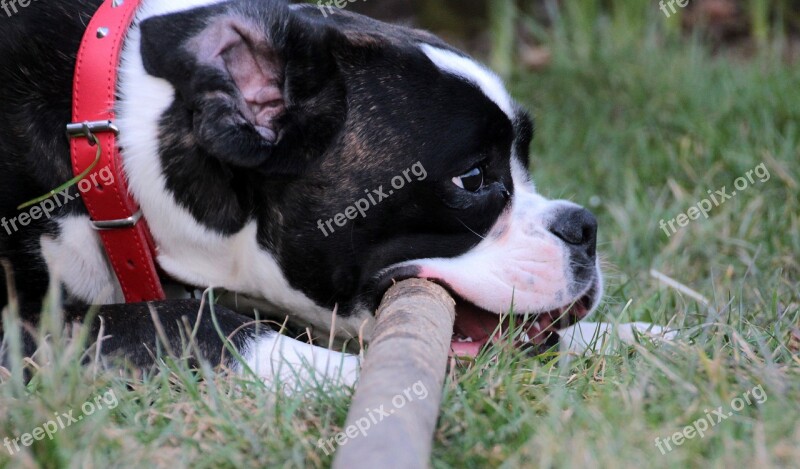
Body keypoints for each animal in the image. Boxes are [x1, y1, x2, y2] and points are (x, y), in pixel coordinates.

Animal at [0, 0, 668, 388]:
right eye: (474, 179)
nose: (584, 226)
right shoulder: (25, 324)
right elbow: (182, 321)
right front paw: (353, 376)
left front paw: (622, 337)